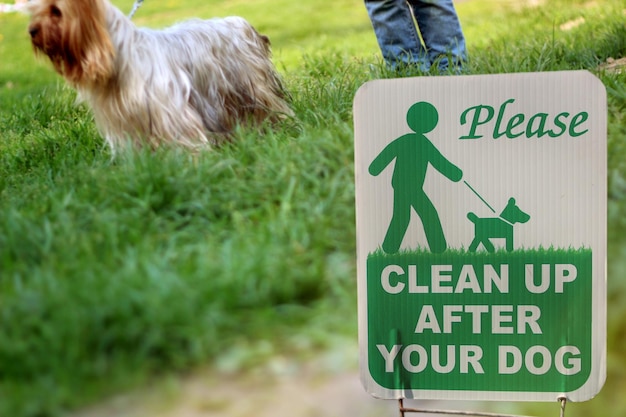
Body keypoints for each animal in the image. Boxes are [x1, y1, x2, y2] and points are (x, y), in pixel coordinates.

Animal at [28, 0, 292, 151]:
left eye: (56, 11)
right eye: (34, 12)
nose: (31, 30)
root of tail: (240, 24)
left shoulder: (169, 110)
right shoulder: (124, 118)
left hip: (250, 87)